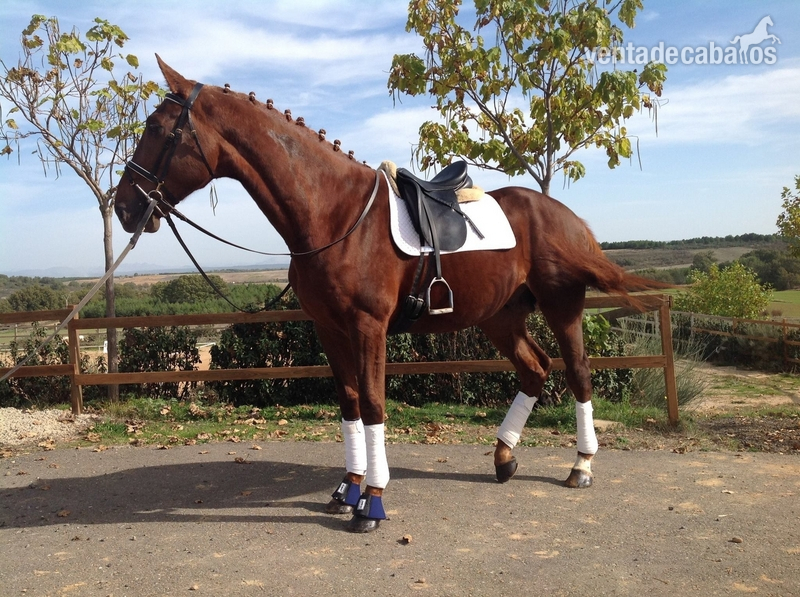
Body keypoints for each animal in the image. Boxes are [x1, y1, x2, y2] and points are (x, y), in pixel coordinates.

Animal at [115, 57, 666, 533]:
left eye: (158, 130)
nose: (123, 207)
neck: (335, 216)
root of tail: (566, 217)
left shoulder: (368, 327)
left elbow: (376, 405)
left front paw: (373, 503)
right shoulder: (329, 329)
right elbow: (350, 404)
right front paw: (348, 488)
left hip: (561, 305)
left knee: (578, 373)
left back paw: (581, 465)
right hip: (500, 316)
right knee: (536, 369)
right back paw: (504, 456)